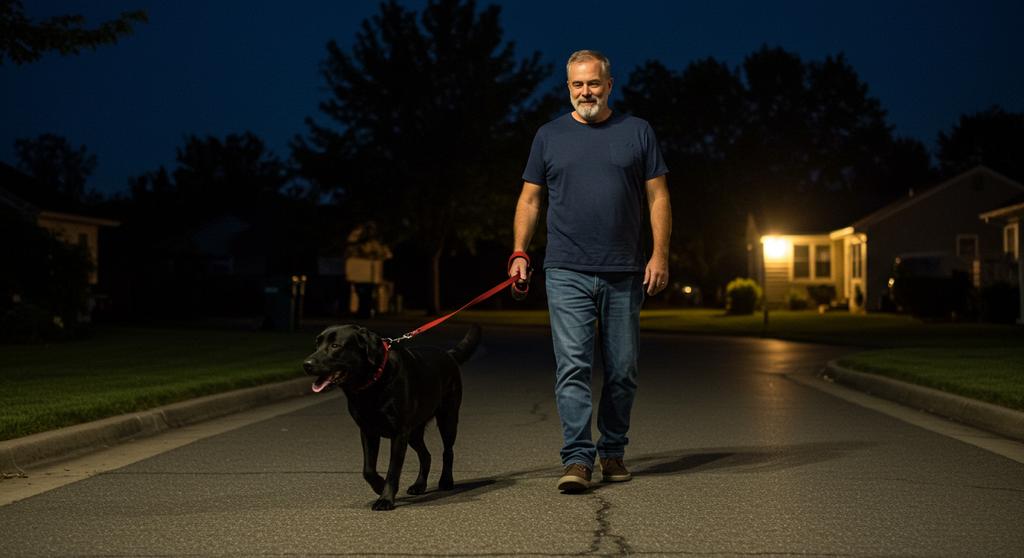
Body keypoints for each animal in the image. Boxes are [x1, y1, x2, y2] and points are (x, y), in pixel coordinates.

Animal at [301, 321, 481, 509]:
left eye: (335, 346)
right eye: (316, 344)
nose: (306, 364)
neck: (373, 382)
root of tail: (448, 354)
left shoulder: (399, 434)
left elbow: (393, 470)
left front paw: (385, 499)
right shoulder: (368, 431)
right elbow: (368, 470)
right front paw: (380, 486)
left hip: (447, 419)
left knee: (448, 451)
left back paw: (446, 481)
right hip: (413, 433)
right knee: (426, 455)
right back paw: (419, 485)